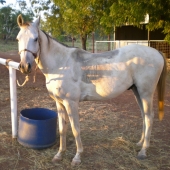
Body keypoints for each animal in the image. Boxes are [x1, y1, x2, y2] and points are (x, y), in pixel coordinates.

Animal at [16, 15, 166, 165]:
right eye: (18, 38)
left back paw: (143, 151)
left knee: (149, 117)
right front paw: (59, 155)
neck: (61, 64)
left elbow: (75, 129)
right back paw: (140, 144)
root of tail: (157, 52)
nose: (24, 66)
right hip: (137, 91)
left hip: (146, 93)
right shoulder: (59, 103)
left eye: (36, 39)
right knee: (144, 116)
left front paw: (77, 157)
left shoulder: (71, 103)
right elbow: (62, 129)